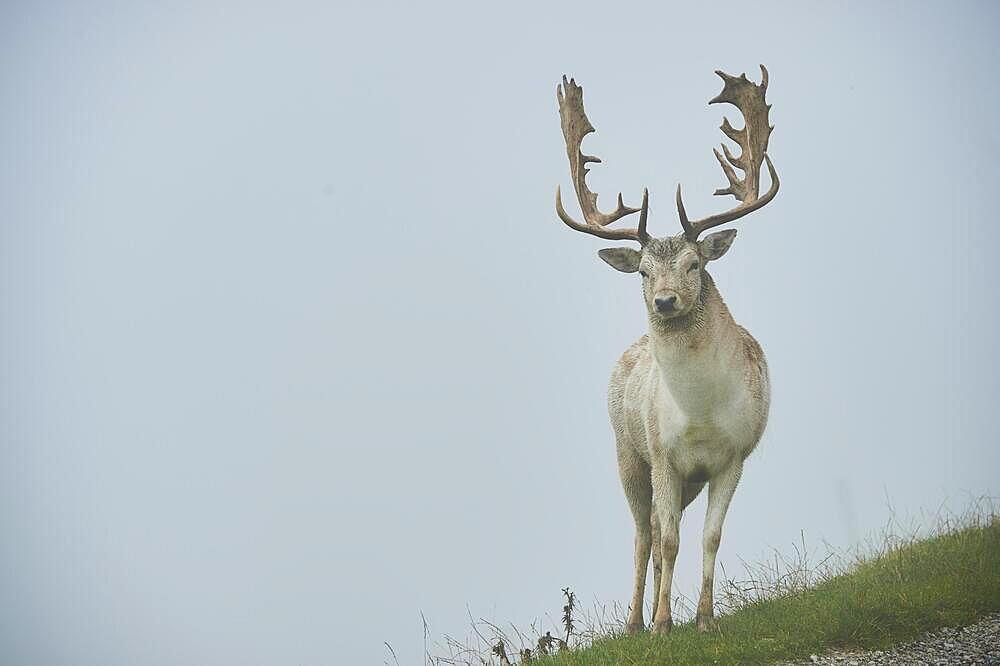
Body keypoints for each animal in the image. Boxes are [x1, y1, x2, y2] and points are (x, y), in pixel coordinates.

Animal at [556, 66, 780, 632]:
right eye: (641, 270)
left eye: (694, 264)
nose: (664, 300)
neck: (700, 414)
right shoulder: (662, 455)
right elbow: (668, 539)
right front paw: (659, 623)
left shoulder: (733, 456)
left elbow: (709, 537)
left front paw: (703, 618)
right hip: (627, 455)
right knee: (644, 535)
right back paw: (636, 620)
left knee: (659, 534)